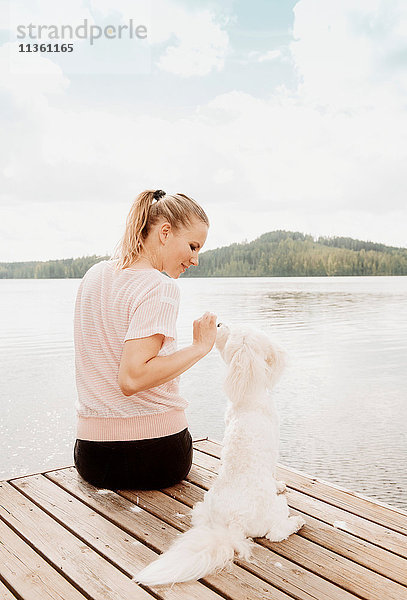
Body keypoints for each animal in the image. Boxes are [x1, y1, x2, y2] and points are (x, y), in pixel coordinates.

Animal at [135, 324, 304, 584]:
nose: (218, 324)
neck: (248, 395)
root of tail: (232, 525)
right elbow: (274, 473)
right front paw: (279, 484)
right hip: (276, 509)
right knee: (275, 533)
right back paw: (296, 522)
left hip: (203, 508)